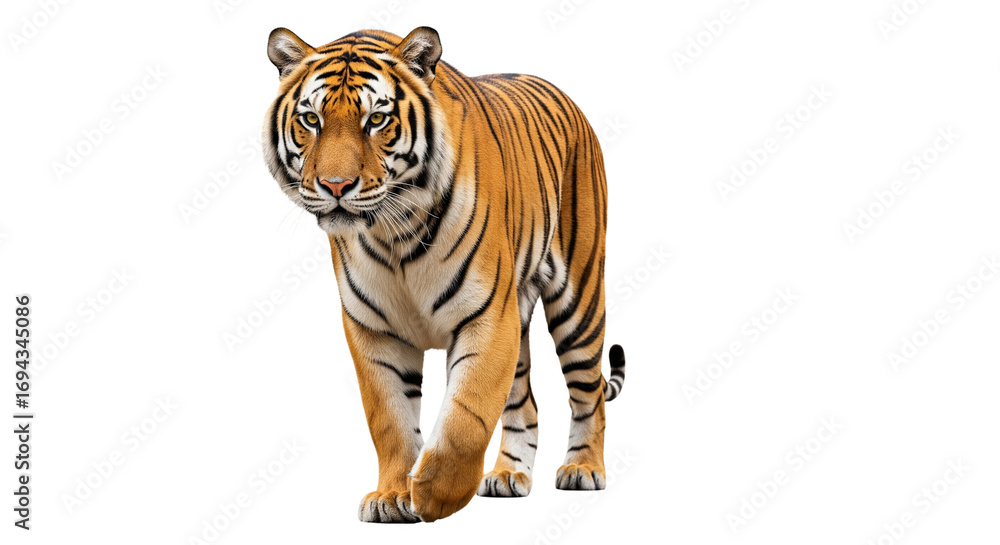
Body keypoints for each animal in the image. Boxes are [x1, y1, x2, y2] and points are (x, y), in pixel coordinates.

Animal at [262, 26, 626, 523]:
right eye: (311, 120)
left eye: (377, 120)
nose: (335, 186)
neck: (393, 232)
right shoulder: (373, 329)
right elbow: (390, 418)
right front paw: (392, 496)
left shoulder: (487, 317)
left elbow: (467, 414)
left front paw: (434, 494)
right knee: (525, 402)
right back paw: (508, 476)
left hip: (580, 299)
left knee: (589, 393)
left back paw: (583, 469)